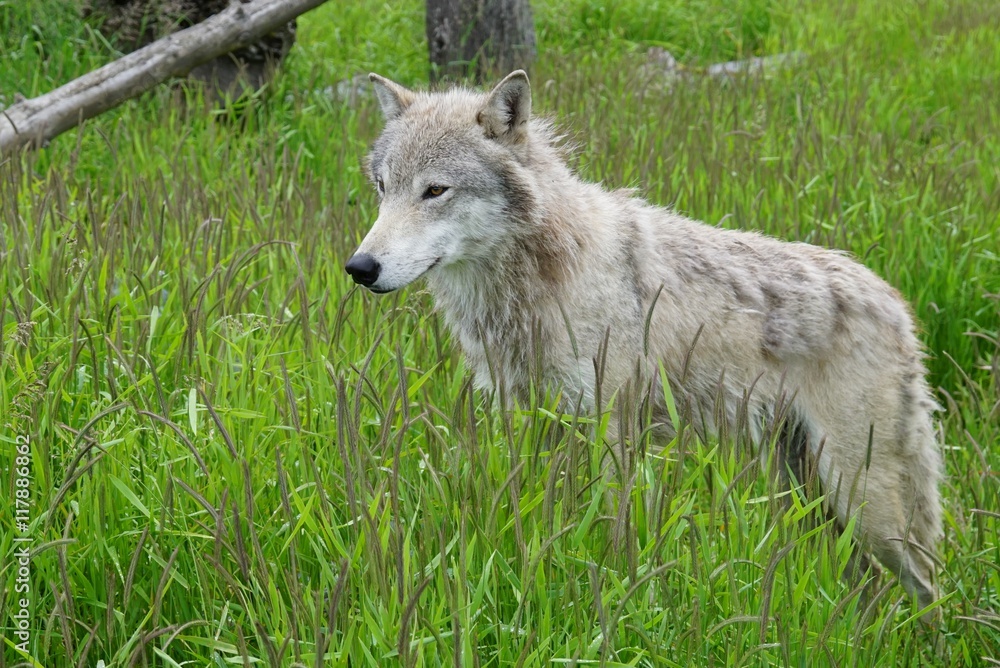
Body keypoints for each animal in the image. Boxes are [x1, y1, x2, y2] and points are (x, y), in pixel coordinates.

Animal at [346, 72, 944, 616]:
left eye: (435, 190)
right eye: (383, 188)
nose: (359, 267)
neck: (546, 273)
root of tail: (895, 302)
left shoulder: (613, 432)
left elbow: (614, 534)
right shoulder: (534, 428)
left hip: (862, 500)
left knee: (926, 584)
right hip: (809, 493)